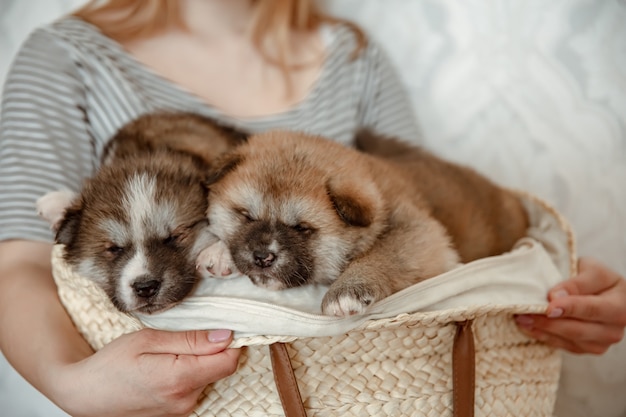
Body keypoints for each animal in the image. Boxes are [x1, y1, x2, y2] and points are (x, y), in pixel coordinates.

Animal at [200, 129, 528, 316]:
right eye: (246, 215)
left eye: (302, 229)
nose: (262, 257)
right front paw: (218, 252)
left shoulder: (418, 231)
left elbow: (382, 255)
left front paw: (345, 292)